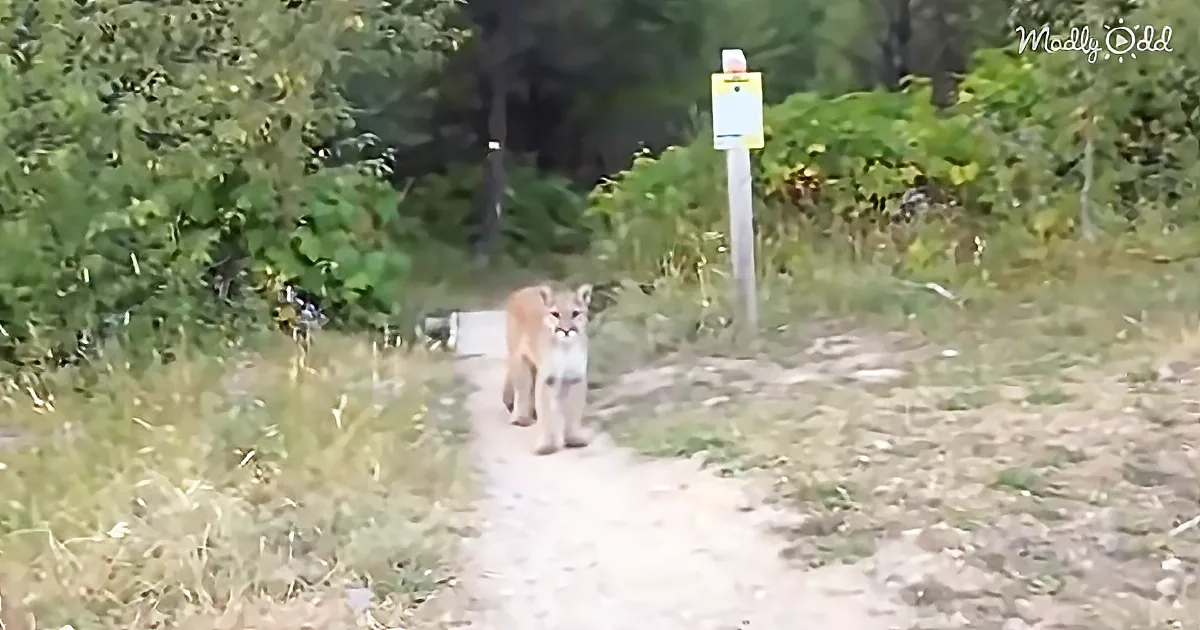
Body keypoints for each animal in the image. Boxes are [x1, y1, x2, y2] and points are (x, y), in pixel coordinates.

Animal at [501, 283, 594, 455]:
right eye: (555, 314)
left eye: (575, 313)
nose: (566, 330)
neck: (565, 347)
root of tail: (522, 290)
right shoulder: (548, 379)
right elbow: (547, 413)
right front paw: (547, 446)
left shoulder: (575, 377)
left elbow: (574, 410)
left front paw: (574, 438)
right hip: (520, 360)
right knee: (522, 390)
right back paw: (521, 419)